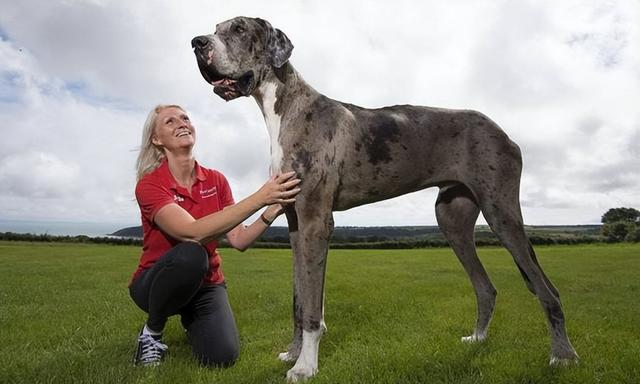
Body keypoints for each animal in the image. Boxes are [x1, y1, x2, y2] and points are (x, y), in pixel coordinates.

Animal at [191, 15, 580, 380]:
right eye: (216, 28)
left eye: (240, 29)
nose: (197, 42)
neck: (284, 107)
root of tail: (504, 131)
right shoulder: (295, 222)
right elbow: (299, 301)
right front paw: (293, 353)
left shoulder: (316, 219)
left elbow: (313, 308)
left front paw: (306, 367)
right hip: (452, 219)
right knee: (486, 288)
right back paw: (478, 340)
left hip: (501, 212)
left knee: (548, 290)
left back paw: (562, 356)